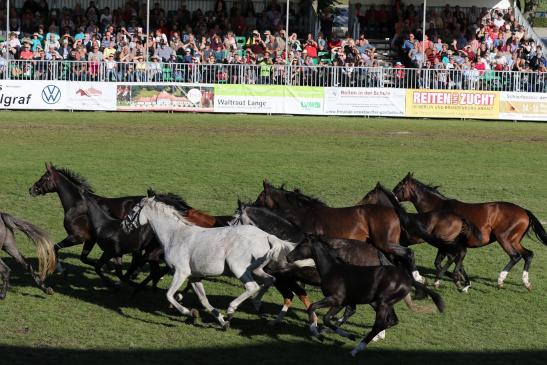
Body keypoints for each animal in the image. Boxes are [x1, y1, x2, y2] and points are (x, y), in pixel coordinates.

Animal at [286, 233, 446, 356]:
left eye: (301, 245)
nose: (288, 257)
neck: (333, 269)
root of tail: (408, 279)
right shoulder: (341, 302)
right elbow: (328, 318)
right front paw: (342, 334)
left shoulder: (335, 299)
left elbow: (313, 308)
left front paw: (315, 331)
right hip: (385, 303)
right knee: (392, 321)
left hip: (383, 303)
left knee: (381, 323)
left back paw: (357, 349)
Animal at [394, 171, 547, 290]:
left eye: (399, 186)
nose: (392, 196)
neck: (439, 209)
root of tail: (524, 211)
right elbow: (455, 262)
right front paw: (462, 280)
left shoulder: (445, 243)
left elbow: (444, 262)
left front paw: (456, 279)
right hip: (514, 240)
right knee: (528, 254)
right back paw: (526, 283)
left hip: (504, 238)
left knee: (515, 256)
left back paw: (500, 280)